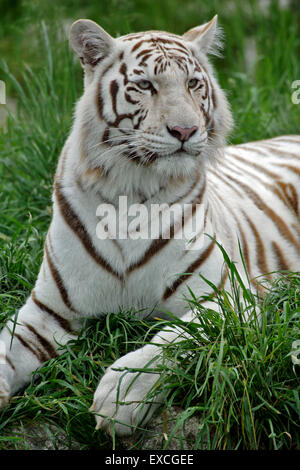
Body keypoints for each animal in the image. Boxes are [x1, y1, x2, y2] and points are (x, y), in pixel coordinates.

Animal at [0, 15, 300, 436]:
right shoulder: (49, 310)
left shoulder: (229, 296)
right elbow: (7, 348)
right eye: (145, 86)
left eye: (193, 84)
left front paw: (120, 397)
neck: (131, 193)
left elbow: (174, 338)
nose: (186, 131)